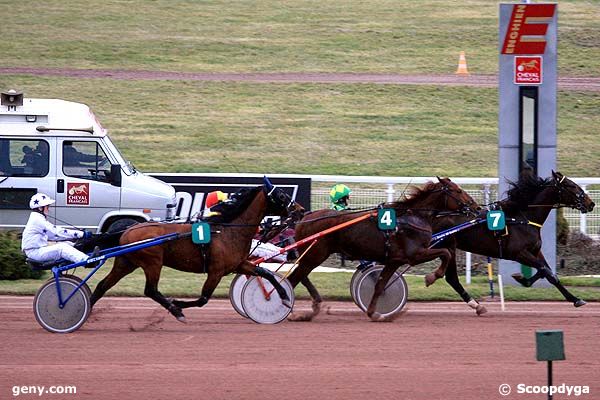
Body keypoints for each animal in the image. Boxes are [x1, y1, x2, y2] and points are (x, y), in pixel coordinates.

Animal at [90, 180, 304, 324]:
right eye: (282, 196)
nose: (301, 210)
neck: (229, 230)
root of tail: (127, 230)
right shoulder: (216, 271)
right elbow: (203, 299)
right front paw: (178, 304)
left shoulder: (238, 264)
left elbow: (265, 273)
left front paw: (284, 297)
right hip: (152, 262)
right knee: (150, 290)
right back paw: (176, 311)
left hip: (126, 262)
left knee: (103, 285)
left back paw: (87, 309)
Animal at [288, 178, 480, 322]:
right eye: (458, 191)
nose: (477, 207)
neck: (412, 218)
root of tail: (303, 219)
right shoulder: (414, 255)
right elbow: (445, 254)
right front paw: (431, 277)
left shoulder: (394, 260)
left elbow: (380, 285)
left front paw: (374, 313)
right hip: (314, 255)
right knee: (293, 279)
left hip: (310, 256)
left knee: (300, 277)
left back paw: (310, 308)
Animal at [428, 170, 592, 314]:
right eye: (571, 186)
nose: (591, 203)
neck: (522, 218)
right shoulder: (518, 253)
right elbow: (546, 271)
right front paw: (522, 278)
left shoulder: (535, 251)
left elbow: (547, 271)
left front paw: (575, 299)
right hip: (445, 246)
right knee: (451, 277)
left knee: (451, 278)